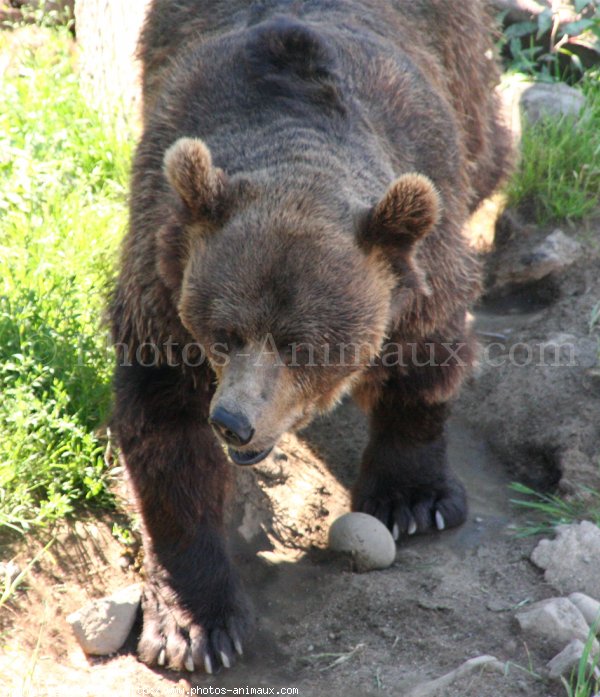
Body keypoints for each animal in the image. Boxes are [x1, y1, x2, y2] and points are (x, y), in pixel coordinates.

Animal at [108, 0, 510, 676]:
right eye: (224, 333)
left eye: (303, 344)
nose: (233, 423)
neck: (296, 140)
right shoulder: (163, 268)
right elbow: (166, 434)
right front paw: (196, 625)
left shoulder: (425, 217)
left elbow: (424, 355)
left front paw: (413, 499)